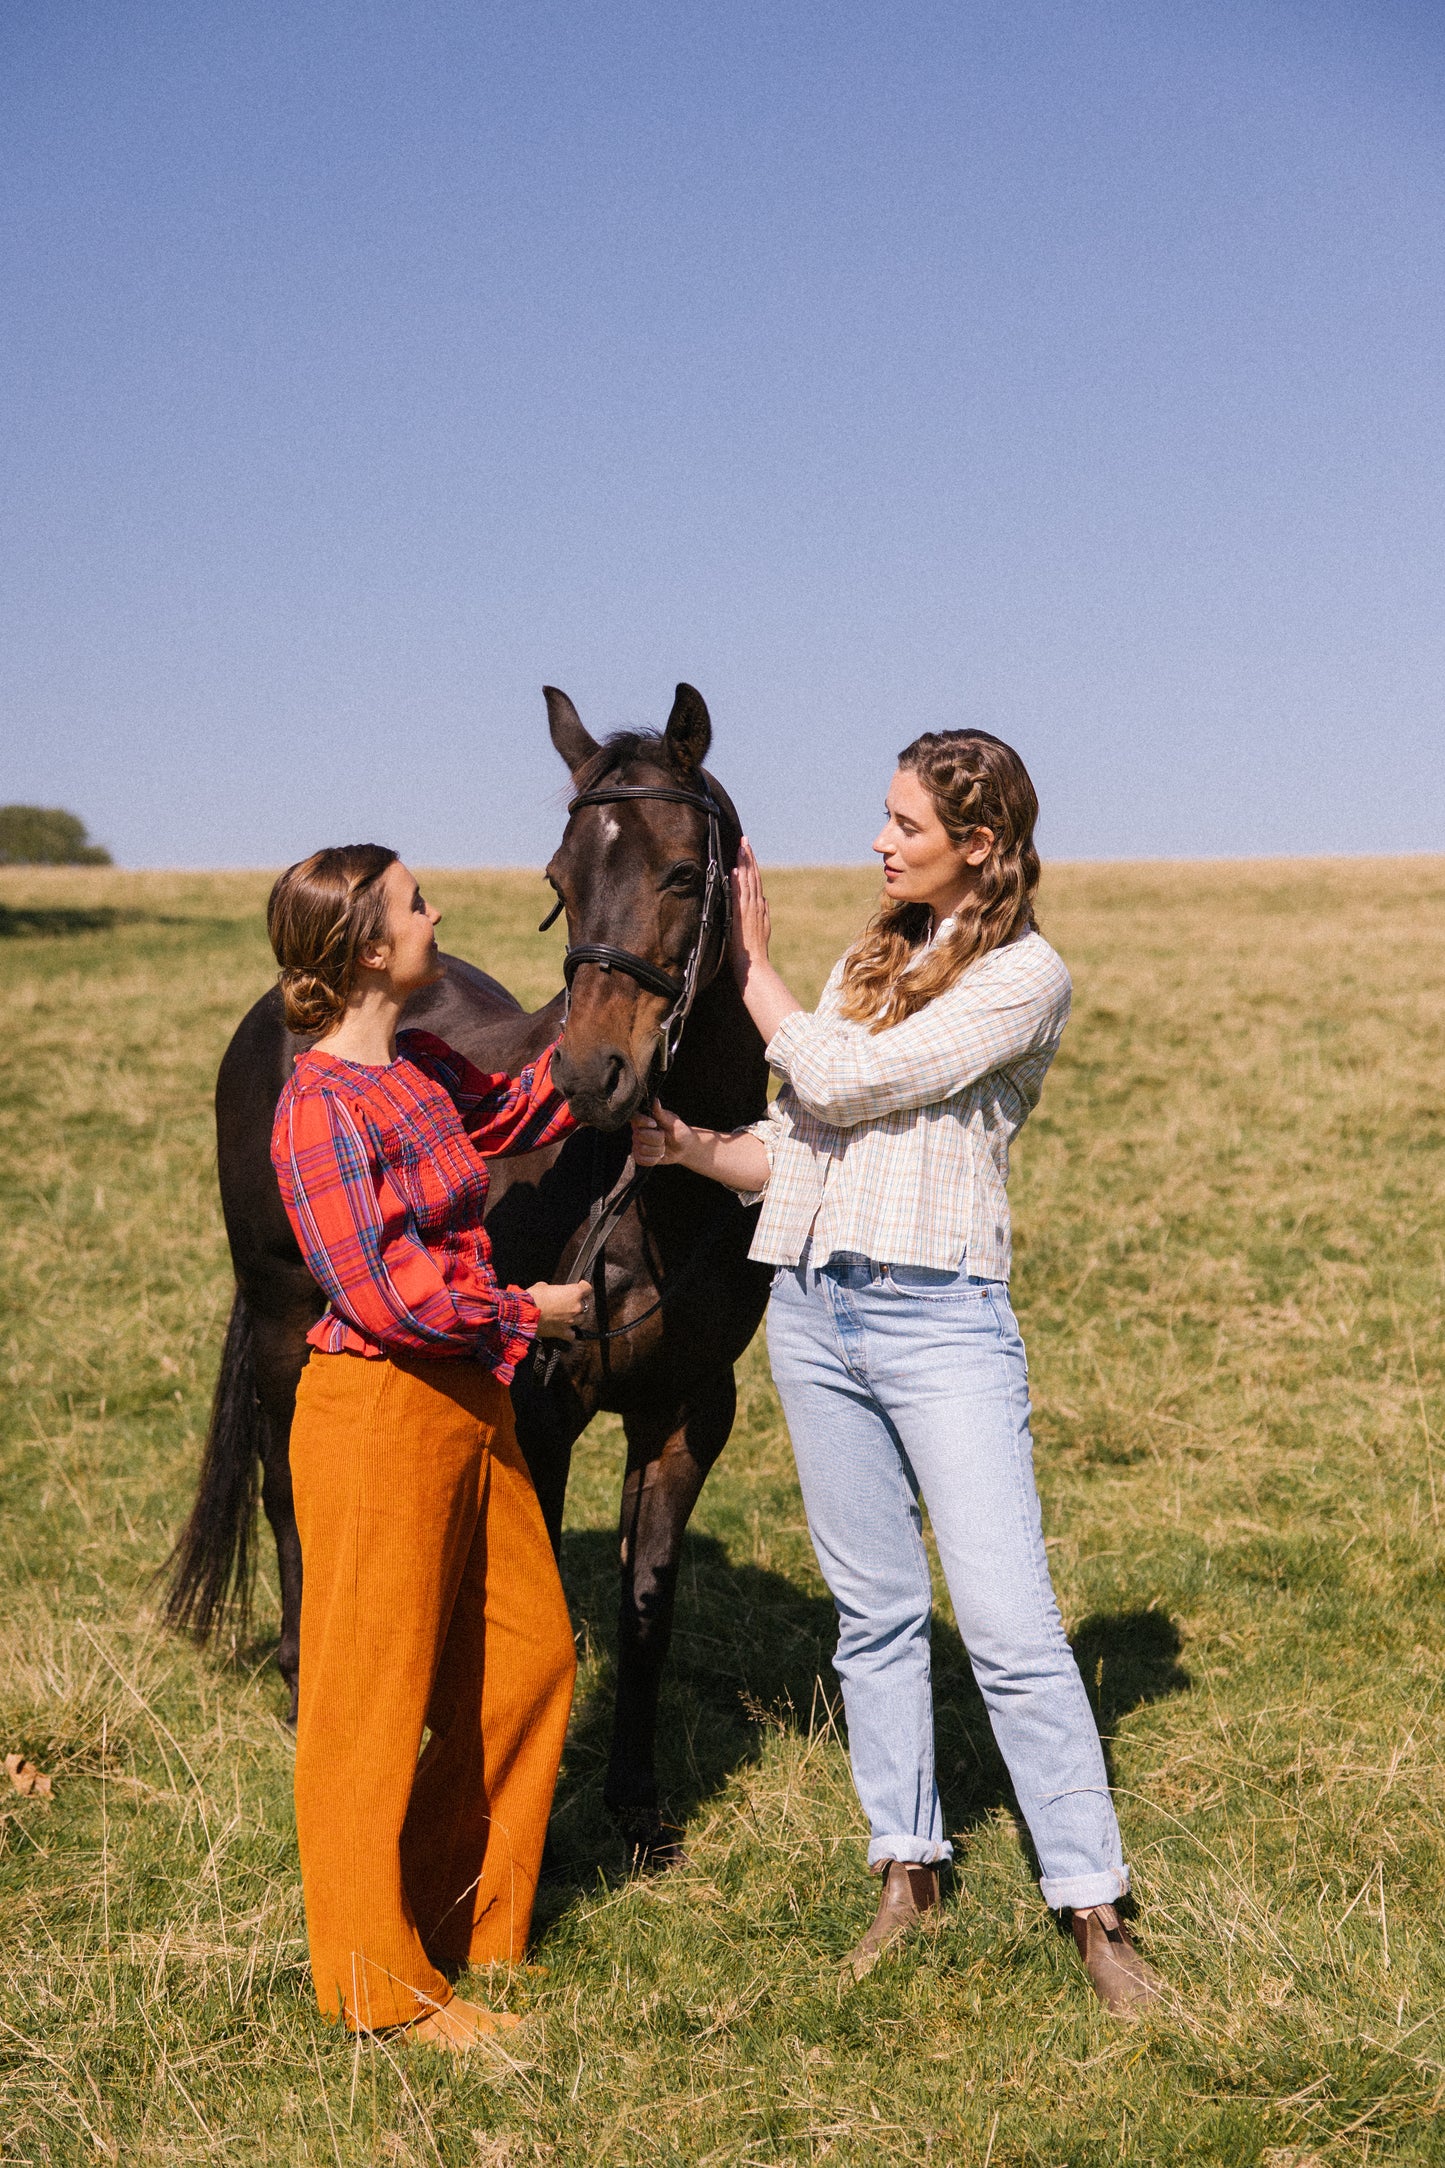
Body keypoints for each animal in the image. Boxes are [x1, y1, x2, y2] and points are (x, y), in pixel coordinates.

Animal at [163, 685, 775, 1855]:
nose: (590, 1075)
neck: (652, 1199)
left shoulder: (685, 1409)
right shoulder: (544, 1409)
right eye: (559, 882)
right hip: (281, 1313)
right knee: (284, 1487)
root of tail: (284, 1005)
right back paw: (305, 1678)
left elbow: (645, 1603)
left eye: (684, 873)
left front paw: (635, 1804)